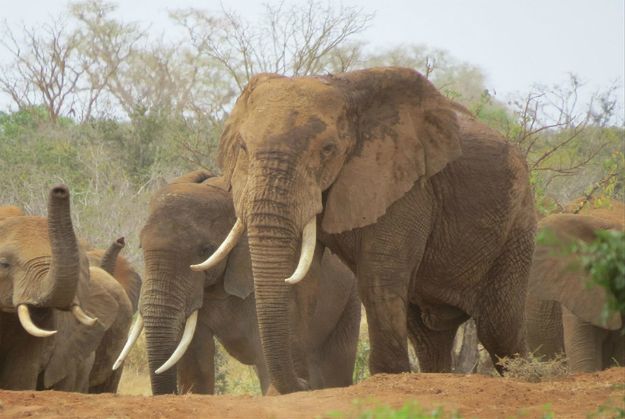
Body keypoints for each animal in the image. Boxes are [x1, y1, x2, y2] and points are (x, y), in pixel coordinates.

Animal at [195, 65, 536, 394]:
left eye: (328, 149)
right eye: (242, 147)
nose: (304, 383)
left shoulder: (405, 185)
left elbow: (379, 275)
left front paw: (389, 377)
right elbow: (303, 279)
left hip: (517, 224)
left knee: (499, 327)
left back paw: (527, 376)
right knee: (427, 333)